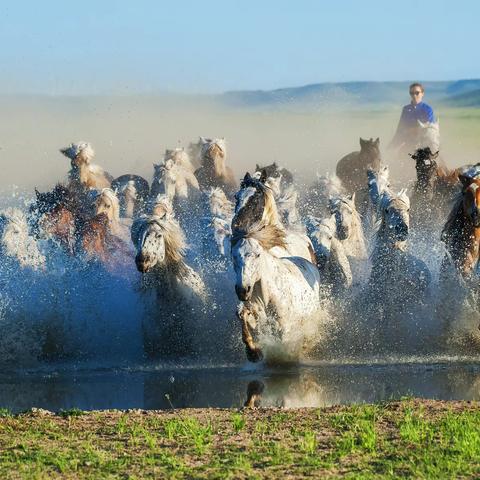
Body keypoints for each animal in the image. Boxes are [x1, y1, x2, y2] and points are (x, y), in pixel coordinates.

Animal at [231, 220, 320, 360]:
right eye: (233, 256)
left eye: (258, 255)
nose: (243, 290)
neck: (268, 297)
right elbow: (243, 315)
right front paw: (253, 352)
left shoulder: (284, 329)